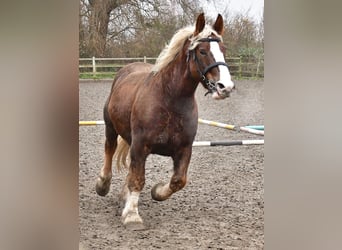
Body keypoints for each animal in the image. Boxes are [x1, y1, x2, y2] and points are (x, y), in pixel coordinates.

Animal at [95, 13, 234, 229]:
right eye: (202, 51)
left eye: (223, 50)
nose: (225, 87)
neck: (170, 100)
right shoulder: (140, 145)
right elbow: (137, 179)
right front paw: (132, 215)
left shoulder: (184, 148)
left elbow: (178, 180)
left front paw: (157, 191)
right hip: (110, 127)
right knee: (109, 149)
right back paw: (103, 184)